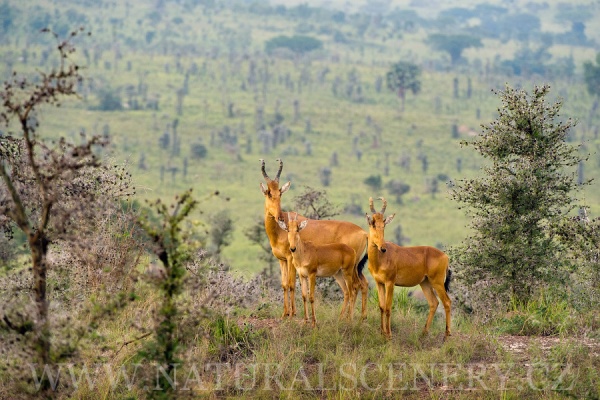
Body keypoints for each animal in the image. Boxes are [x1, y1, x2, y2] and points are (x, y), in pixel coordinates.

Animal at [258, 159, 370, 318]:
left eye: (280, 193)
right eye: (269, 193)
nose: (279, 217)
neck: (280, 230)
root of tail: (364, 233)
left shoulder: (291, 259)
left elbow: (292, 284)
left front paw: (293, 314)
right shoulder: (282, 260)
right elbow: (284, 285)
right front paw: (284, 314)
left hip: (351, 267)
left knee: (356, 286)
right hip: (353, 267)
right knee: (363, 284)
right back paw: (361, 317)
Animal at [364, 198, 452, 340]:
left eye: (383, 225)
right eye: (373, 224)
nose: (383, 248)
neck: (381, 258)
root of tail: (445, 257)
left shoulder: (390, 283)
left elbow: (388, 307)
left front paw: (389, 335)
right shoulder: (379, 283)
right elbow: (381, 307)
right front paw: (382, 333)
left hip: (437, 282)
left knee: (447, 302)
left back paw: (446, 335)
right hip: (425, 283)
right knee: (434, 303)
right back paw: (423, 333)